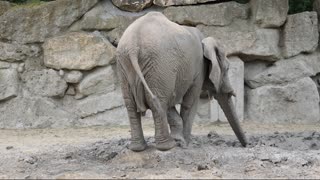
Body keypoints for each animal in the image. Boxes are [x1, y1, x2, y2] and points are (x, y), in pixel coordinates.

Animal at [115, 11, 248, 152]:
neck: (205, 40)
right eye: (227, 68)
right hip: (160, 65)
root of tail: (132, 45)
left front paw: (179, 140)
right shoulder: (198, 70)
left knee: (132, 104)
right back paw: (167, 147)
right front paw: (184, 144)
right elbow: (190, 103)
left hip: (126, 65)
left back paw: (138, 148)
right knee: (158, 101)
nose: (246, 145)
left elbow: (171, 104)